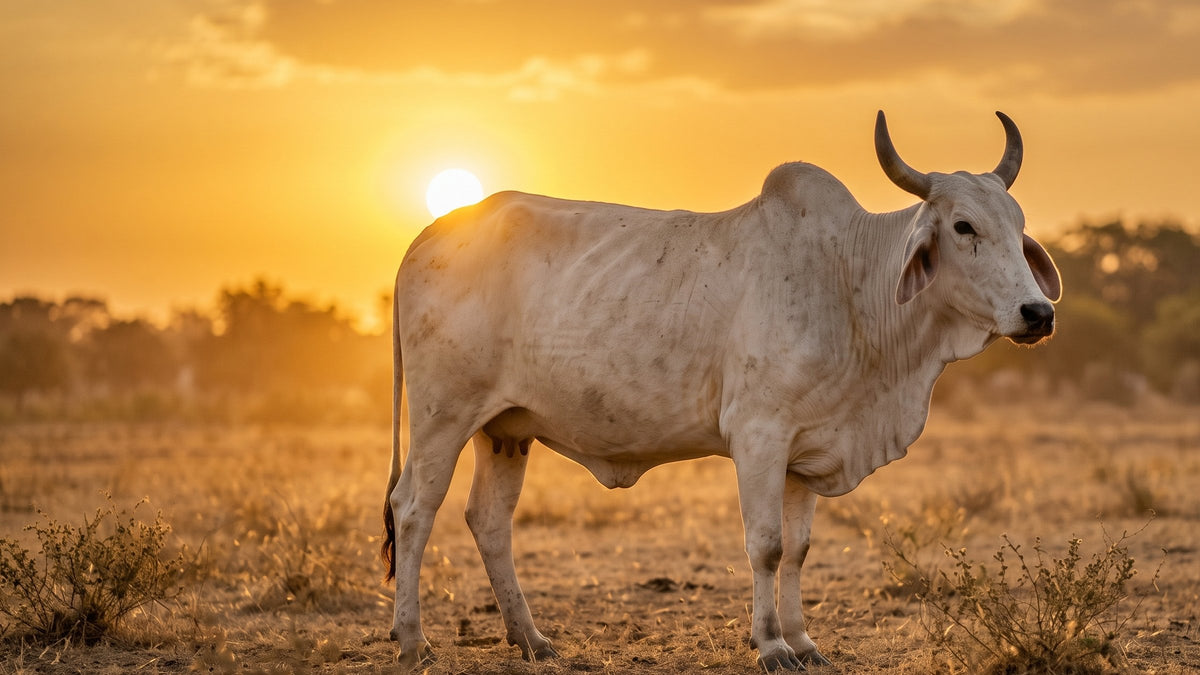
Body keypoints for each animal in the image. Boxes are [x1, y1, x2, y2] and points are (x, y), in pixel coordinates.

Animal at [381, 111, 1061, 671]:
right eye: (964, 226)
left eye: (1019, 226)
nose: (1038, 313)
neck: (848, 284)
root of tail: (426, 238)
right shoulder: (759, 436)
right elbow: (766, 546)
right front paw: (772, 645)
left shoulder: (805, 451)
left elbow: (799, 550)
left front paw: (805, 642)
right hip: (443, 416)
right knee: (412, 509)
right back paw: (414, 641)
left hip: (505, 430)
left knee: (489, 521)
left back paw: (532, 640)